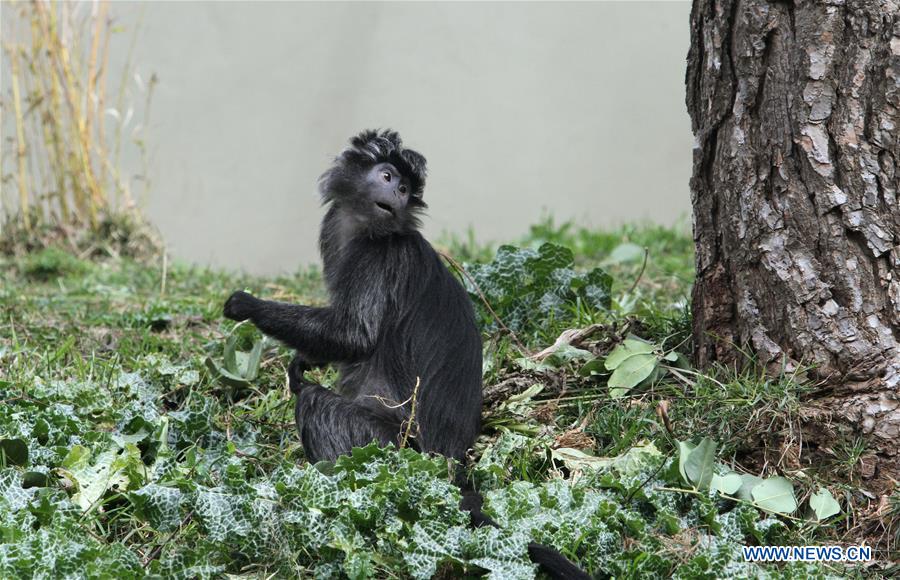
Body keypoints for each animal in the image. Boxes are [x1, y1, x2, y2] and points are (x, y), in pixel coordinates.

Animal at [225, 131, 592, 580]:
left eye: (403, 188)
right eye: (387, 177)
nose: (396, 195)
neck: (365, 227)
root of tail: (448, 464)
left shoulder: (379, 258)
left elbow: (354, 337)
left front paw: (249, 307)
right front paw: (304, 359)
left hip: (390, 452)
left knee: (313, 402)